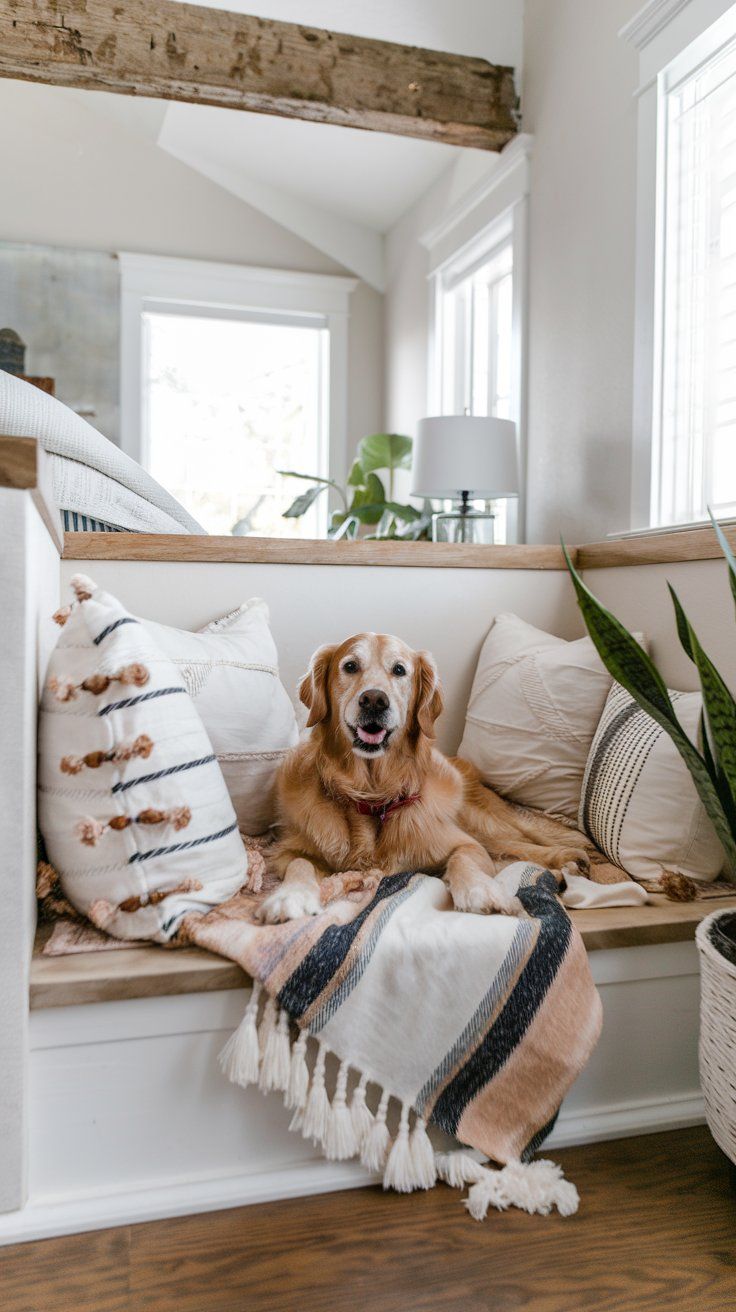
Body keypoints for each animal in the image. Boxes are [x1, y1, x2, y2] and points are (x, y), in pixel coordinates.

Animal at [255, 632, 592, 923]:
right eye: (350, 666)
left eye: (399, 670)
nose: (374, 700)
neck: (373, 794)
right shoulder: (287, 850)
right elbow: (299, 863)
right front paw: (291, 897)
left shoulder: (464, 843)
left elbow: (463, 859)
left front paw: (480, 890)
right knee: (510, 850)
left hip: (484, 822)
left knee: (520, 842)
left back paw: (569, 858)